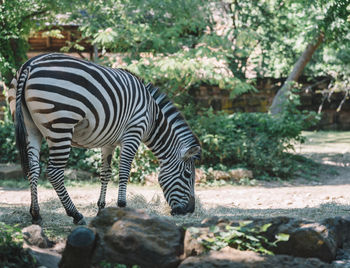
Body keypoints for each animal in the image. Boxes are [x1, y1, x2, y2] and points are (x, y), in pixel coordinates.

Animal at [6, 52, 201, 224]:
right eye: (187, 174)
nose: (190, 210)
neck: (152, 116)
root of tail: (29, 64)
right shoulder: (133, 133)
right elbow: (124, 171)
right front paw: (122, 206)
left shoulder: (109, 143)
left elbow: (105, 173)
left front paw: (101, 209)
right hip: (61, 125)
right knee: (54, 172)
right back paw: (75, 214)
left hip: (31, 128)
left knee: (33, 168)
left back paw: (36, 214)